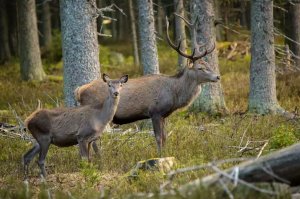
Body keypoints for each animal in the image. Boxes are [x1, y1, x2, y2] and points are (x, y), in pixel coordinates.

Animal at [75, 16, 220, 155]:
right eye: (200, 68)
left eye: (208, 65)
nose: (218, 76)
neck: (174, 93)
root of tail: (79, 91)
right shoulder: (155, 111)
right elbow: (158, 138)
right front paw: (160, 155)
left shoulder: (163, 115)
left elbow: (165, 137)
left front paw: (167, 153)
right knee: (92, 140)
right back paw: (100, 159)